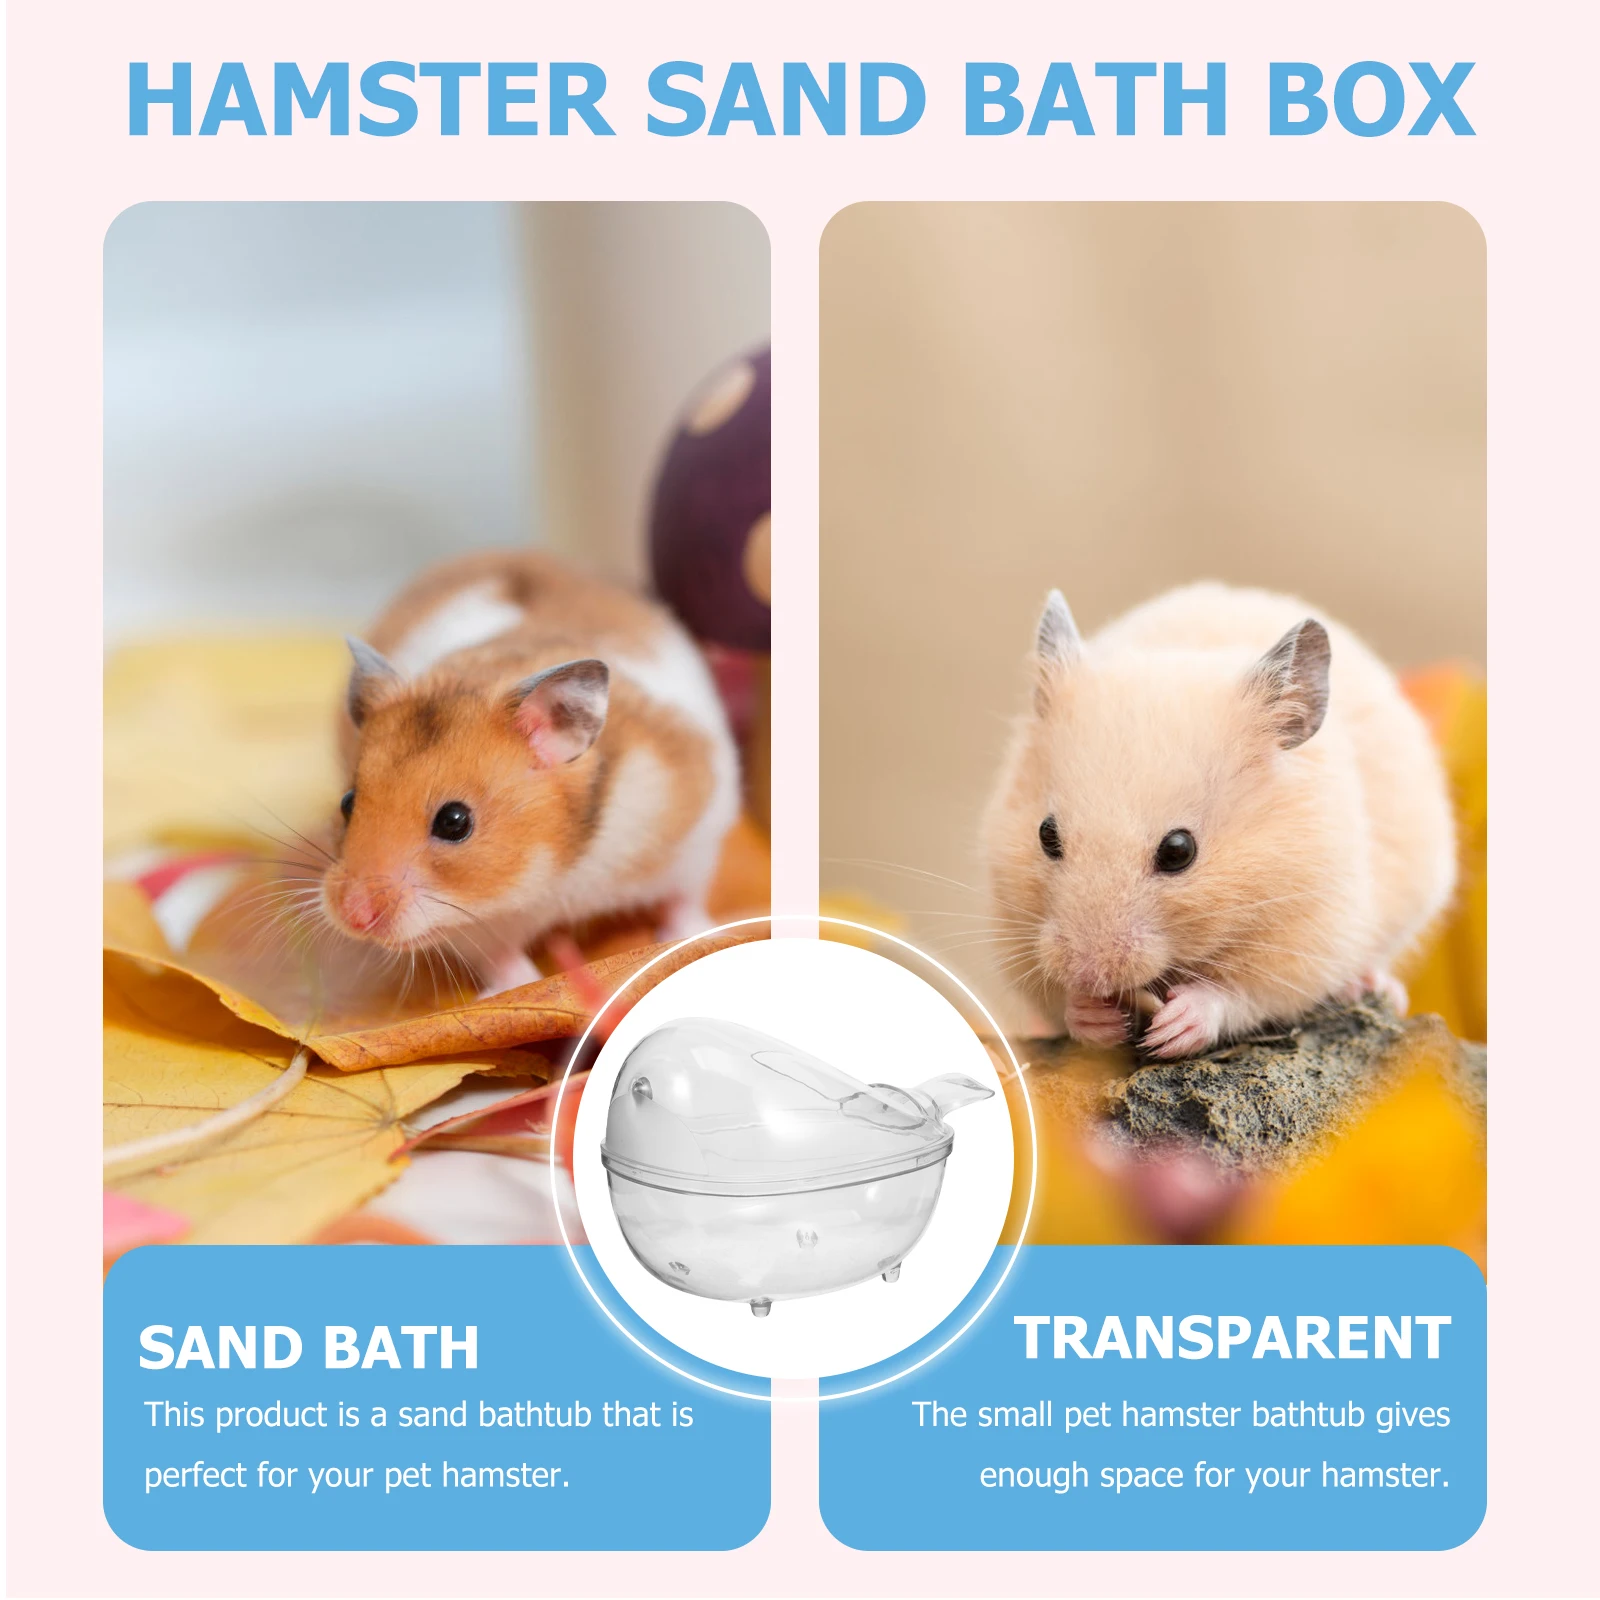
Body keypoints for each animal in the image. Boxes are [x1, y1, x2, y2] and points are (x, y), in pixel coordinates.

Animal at [318, 549, 740, 996]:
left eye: (454, 821)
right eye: (347, 802)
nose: (353, 917)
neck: (554, 869)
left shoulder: (696, 839)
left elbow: (685, 898)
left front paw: (698, 935)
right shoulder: (477, 930)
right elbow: (502, 959)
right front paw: (512, 987)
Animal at [981, 582, 1457, 1059]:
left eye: (1179, 851)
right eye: (1046, 834)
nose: (1089, 974)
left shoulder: (1306, 941)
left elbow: (1239, 995)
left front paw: (1171, 1030)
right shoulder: (1012, 928)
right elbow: (1057, 1002)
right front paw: (1096, 1015)